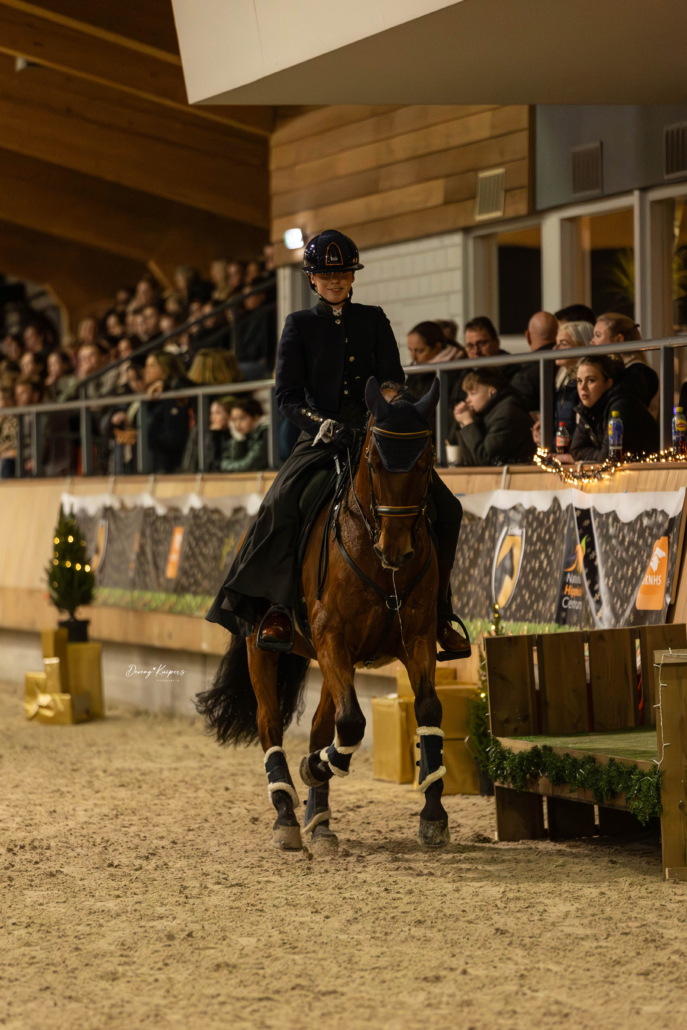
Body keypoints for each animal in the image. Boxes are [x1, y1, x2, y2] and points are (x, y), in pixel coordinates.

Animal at [197, 377, 454, 852]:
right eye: (374, 461)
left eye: (426, 461)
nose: (396, 550)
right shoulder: (333, 636)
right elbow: (351, 723)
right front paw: (310, 770)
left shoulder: (418, 637)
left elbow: (427, 711)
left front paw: (433, 815)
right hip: (263, 648)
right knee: (270, 723)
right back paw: (286, 813)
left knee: (320, 725)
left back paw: (319, 817)